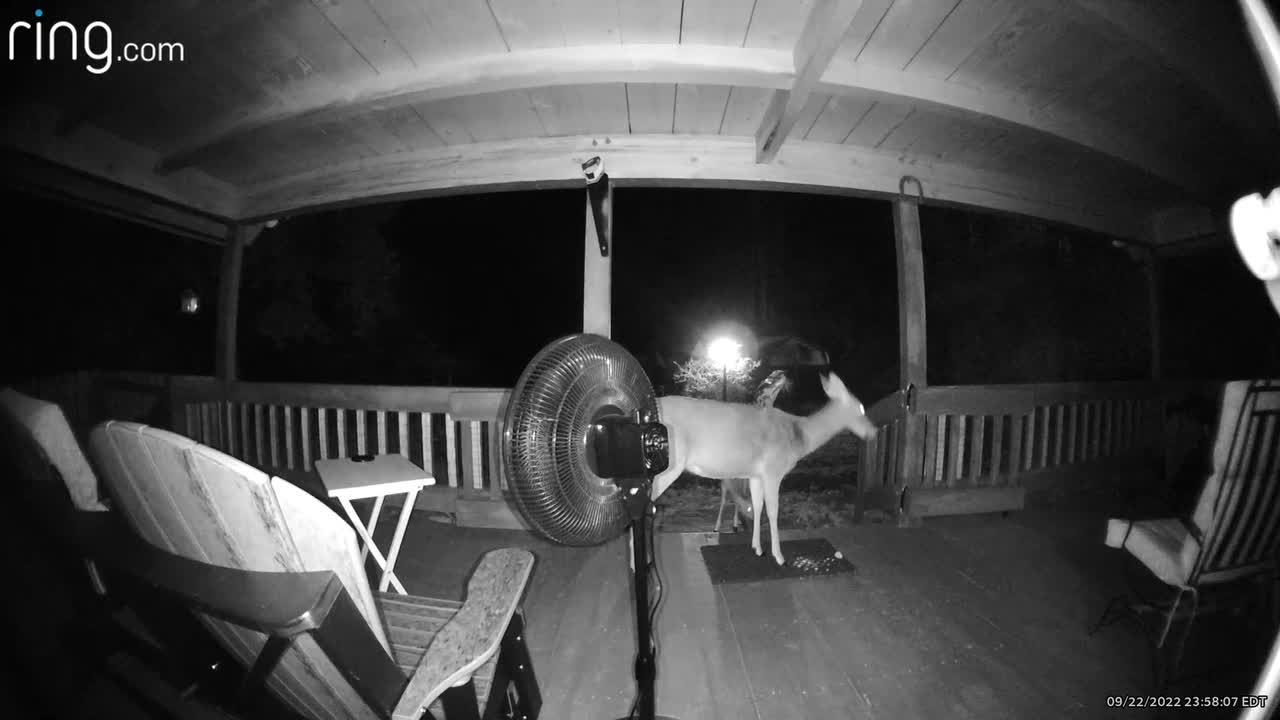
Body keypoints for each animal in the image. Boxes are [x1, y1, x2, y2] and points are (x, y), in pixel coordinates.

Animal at [650, 371, 880, 563]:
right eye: (860, 408)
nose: (873, 432)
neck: (798, 435)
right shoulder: (773, 470)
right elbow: (773, 511)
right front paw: (778, 556)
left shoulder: (755, 475)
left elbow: (757, 506)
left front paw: (757, 548)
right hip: (668, 465)